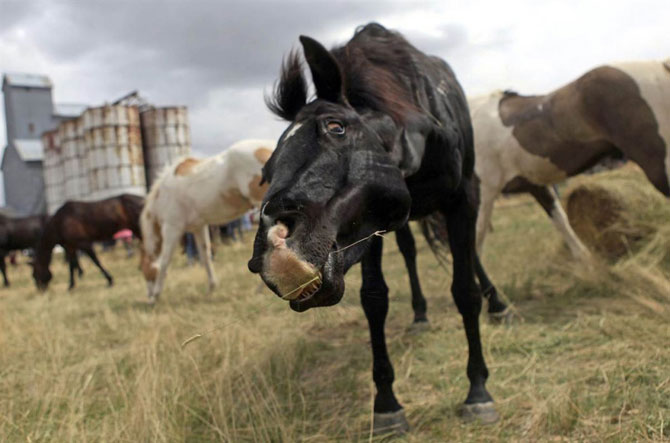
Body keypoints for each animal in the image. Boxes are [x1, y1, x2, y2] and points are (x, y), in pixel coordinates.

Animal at [139, 140, 276, 304]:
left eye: (145, 271)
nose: (148, 296)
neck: (162, 195)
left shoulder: (172, 228)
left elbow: (164, 261)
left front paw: (156, 296)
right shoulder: (198, 227)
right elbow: (205, 256)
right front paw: (211, 287)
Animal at [249, 24, 506, 434]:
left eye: (336, 127)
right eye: (266, 171)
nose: (274, 246)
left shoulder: (461, 198)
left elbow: (464, 290)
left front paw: (478, 391)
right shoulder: (369, 227)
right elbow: (374, 299)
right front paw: (387, 404)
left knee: (465, 255)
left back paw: (498, 305)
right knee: (411, 252)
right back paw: (420, 316)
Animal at [472, 60, 670, 258]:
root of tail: (662, 66)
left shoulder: (484, 192)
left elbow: (476, 242)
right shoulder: (536, 186)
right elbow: (561, 222)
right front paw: (586, 261)